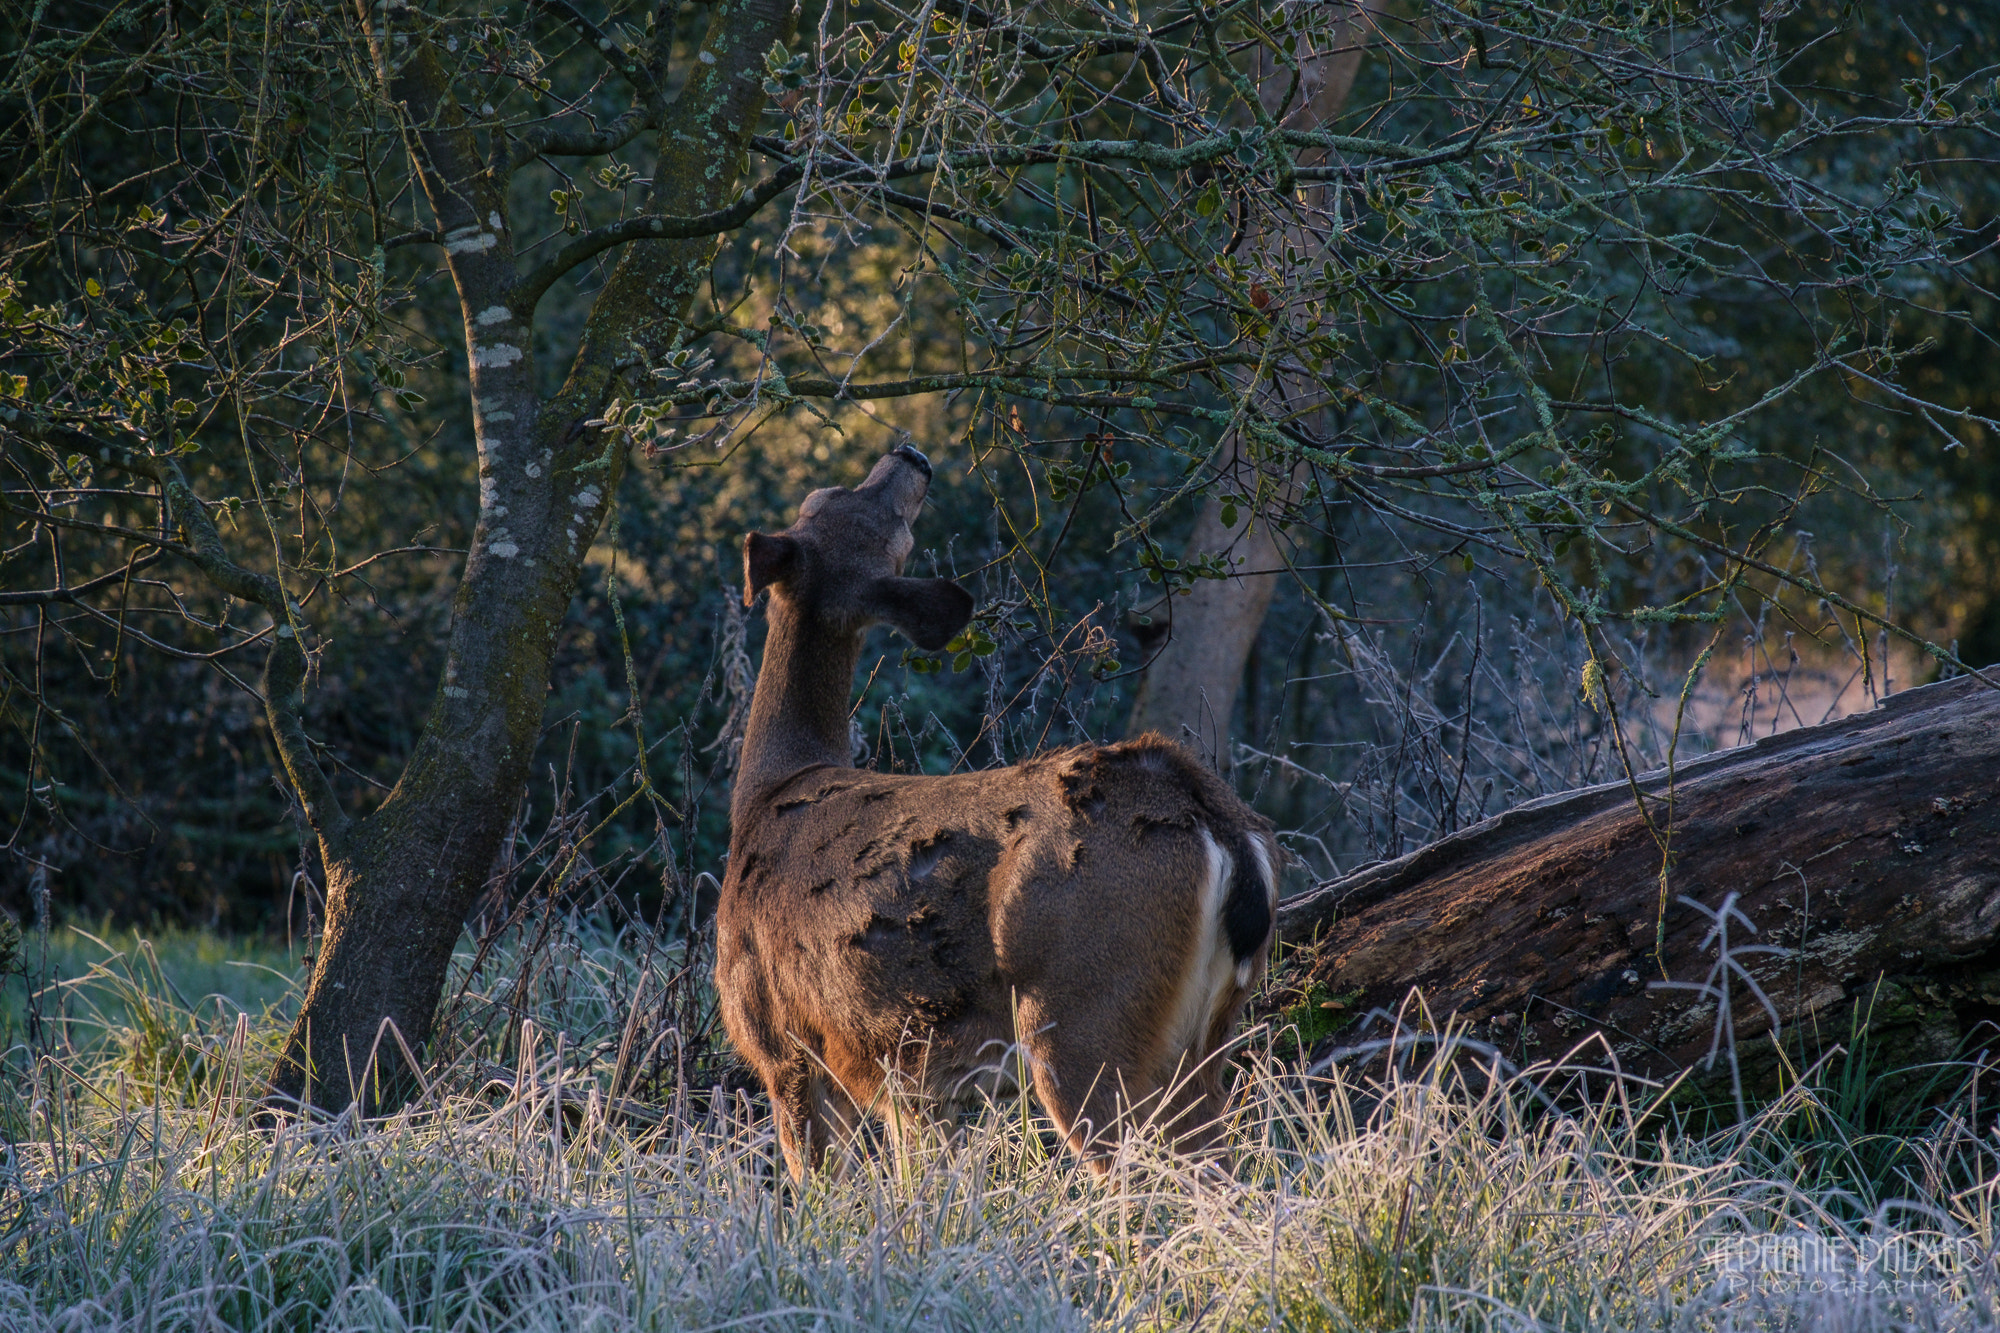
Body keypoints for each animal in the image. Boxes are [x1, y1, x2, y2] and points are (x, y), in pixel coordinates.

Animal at [724, 444, 1280, 1176]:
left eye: (891, 525)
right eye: (827, 496)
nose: (909, 453)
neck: (767, 790)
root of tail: (1218, 824)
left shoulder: (778, 1042)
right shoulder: (913, 1082)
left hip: (1082, 1016)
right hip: (1202, 1038)